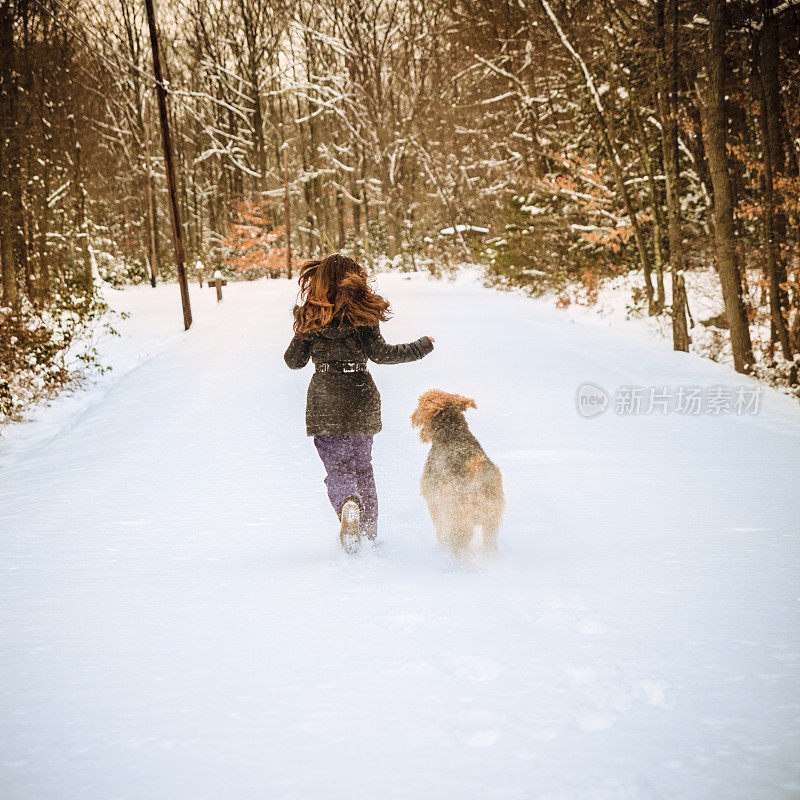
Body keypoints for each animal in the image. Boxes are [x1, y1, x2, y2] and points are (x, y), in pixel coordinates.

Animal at [416, 390, 504, 552]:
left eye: (422, 402)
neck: (453, 432)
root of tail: (475, 468)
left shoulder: (434, 501)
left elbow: (439, 529)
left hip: (459, 520)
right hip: (491, 520)